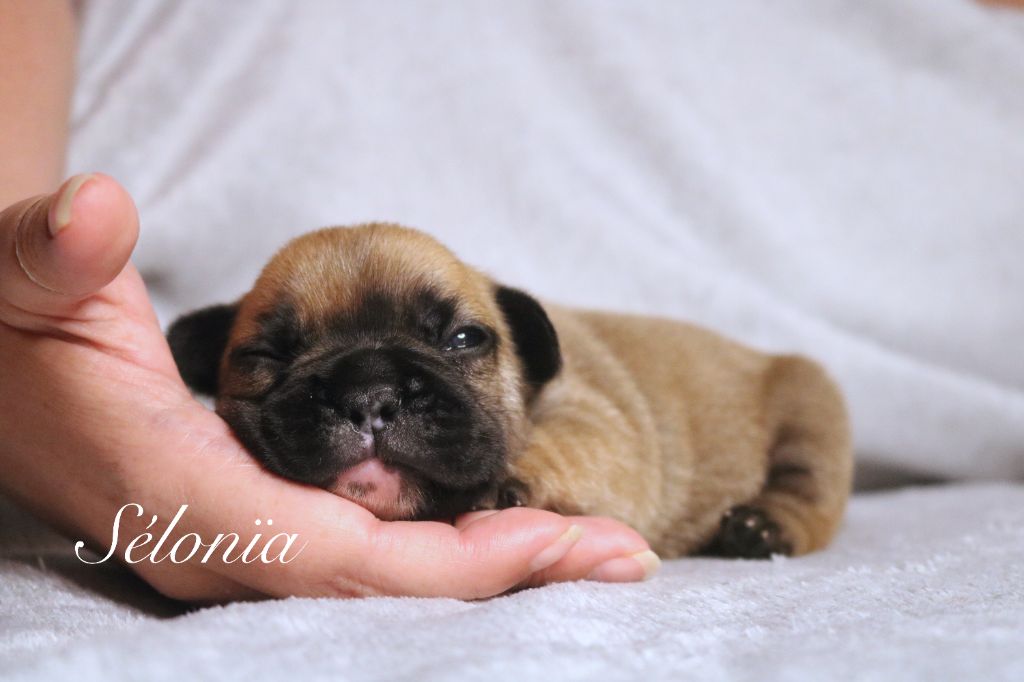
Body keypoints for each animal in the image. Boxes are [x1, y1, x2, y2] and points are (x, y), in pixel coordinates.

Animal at [167, 224, 852, 558]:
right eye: (261, 356)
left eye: (465, 338)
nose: (370, 392)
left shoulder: (601, 422)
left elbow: (568, 445)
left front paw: (505, 481)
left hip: (810, 405)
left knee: (811, 490)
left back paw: (762, 528)